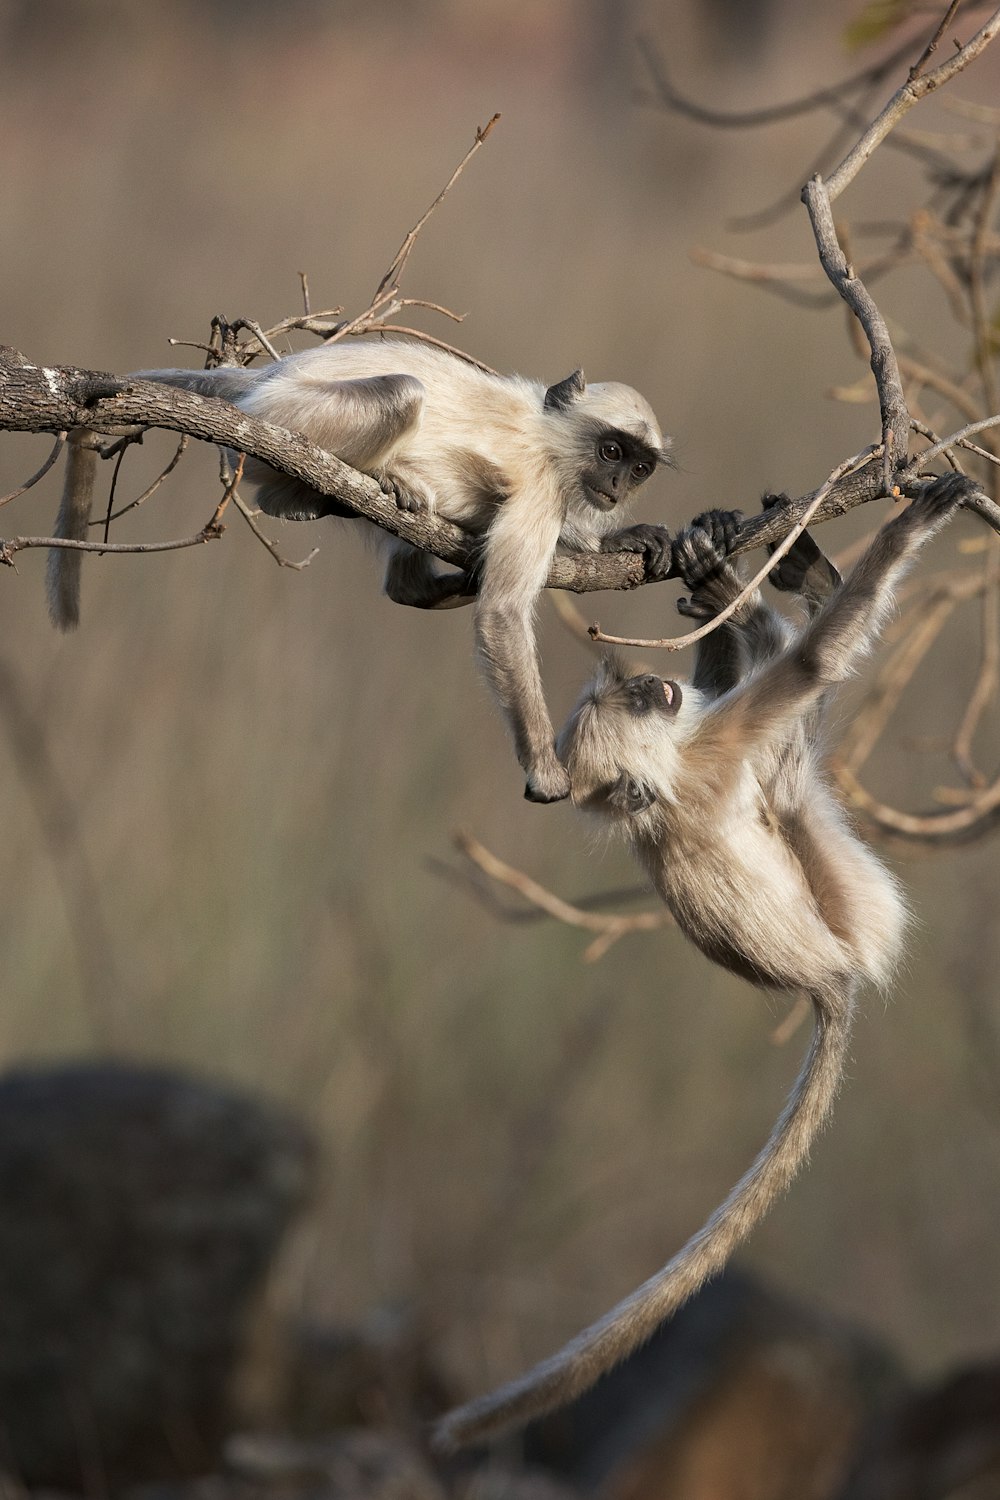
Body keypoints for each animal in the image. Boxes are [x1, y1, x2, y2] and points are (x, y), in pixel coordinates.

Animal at [46, 343, 671, 810]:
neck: (549, 434)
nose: (618, 486)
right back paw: (312, 495)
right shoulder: (544, 482)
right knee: (399, 395)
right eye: (610, 451)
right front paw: (544, 770)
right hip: (283, 416)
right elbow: (502, 612)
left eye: (640, 466)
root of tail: (266, 375)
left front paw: (622, 537)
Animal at [434, 474, 971, 1446]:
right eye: (643, 703)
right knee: (792, 767)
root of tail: (825, 983)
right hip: (858, 911)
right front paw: (907, 526)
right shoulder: (710, 752)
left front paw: (718, 569)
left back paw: (757, 583)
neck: (657, 793)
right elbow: (806, 673)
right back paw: (791, 590)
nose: (655, 681)